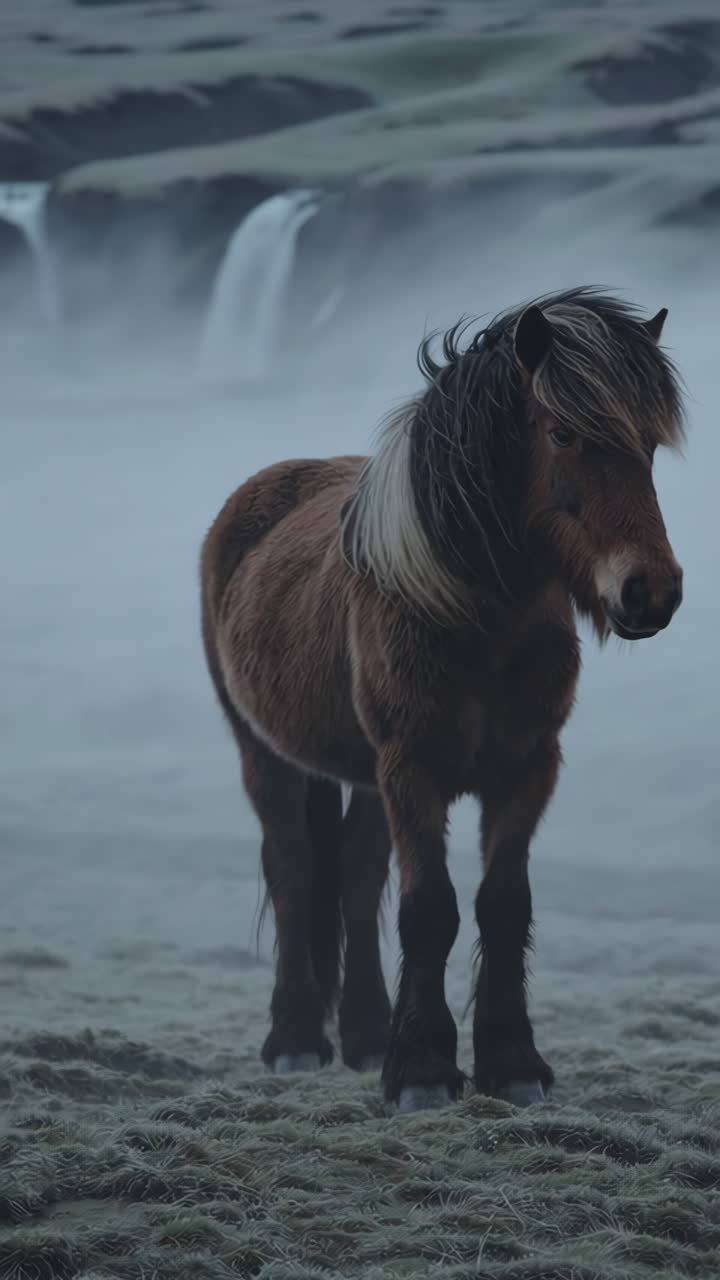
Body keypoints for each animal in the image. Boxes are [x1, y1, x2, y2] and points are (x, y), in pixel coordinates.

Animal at [200, 287, 685, 1114]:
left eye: (648, 444)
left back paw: (366, 1039)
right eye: (563, 432)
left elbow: (503, 904)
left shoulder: (528, 768)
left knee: (356, 877)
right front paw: (424, 1071)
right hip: (263, 753)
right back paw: (296, 1041)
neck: (471, 615)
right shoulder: (413, 768)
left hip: (363, 776)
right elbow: (430, 908)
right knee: (293, 869)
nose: (650, 591)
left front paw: (511, 1063)